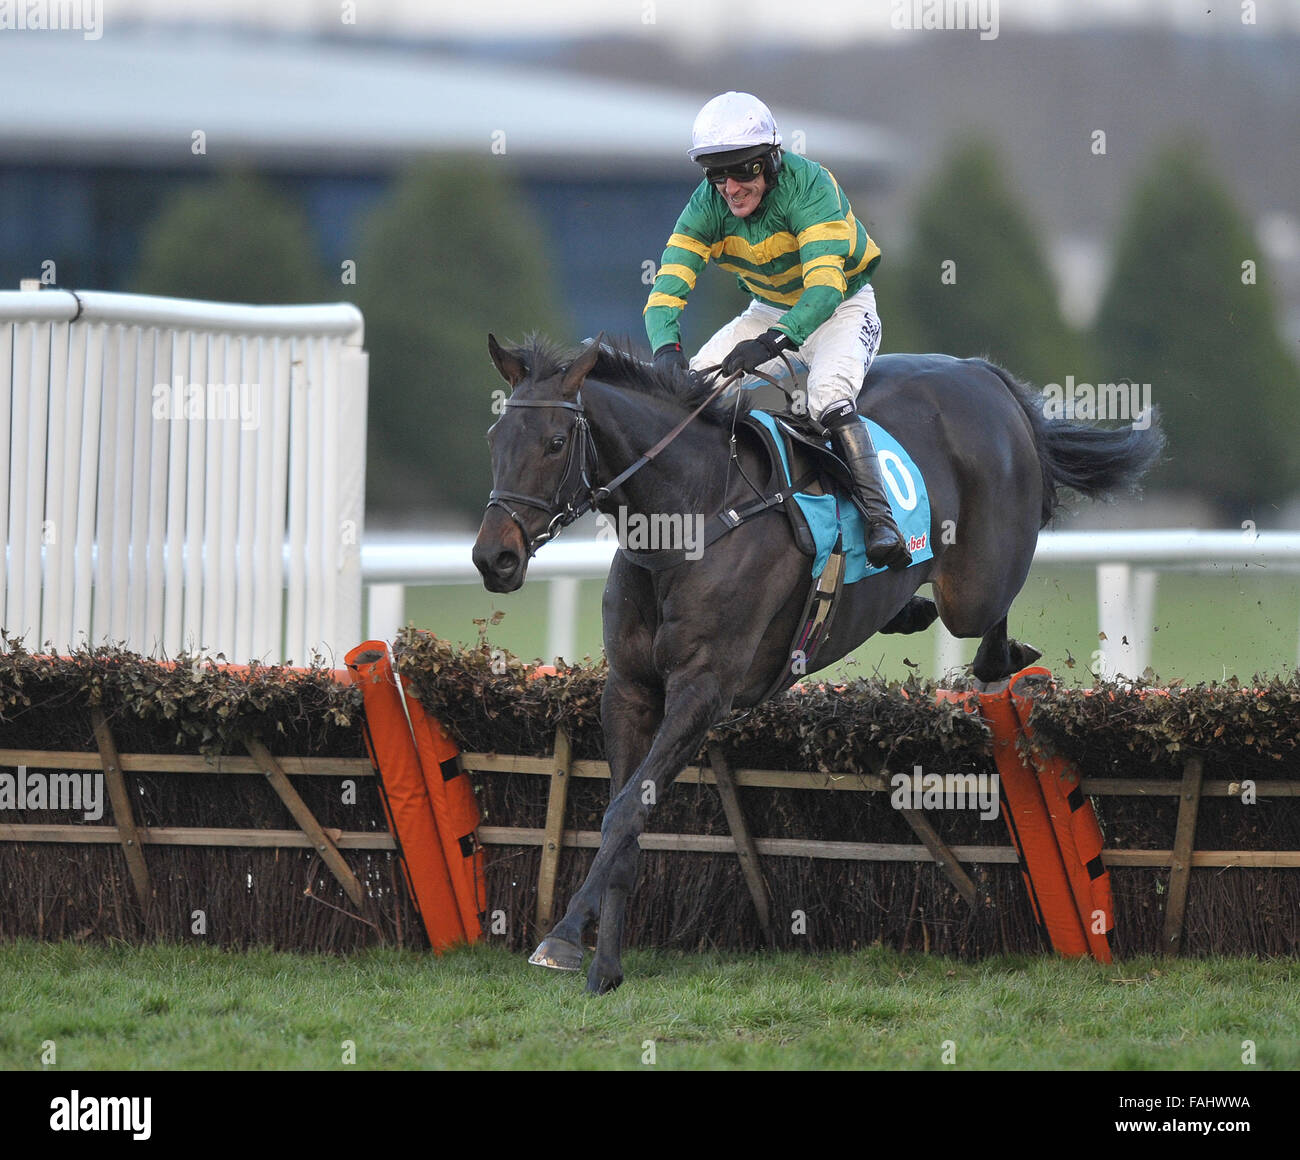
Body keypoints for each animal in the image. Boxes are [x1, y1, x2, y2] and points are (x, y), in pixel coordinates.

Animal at [473, 330, 1164, 993]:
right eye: (495, 438)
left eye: (556, 442)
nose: (492, 558)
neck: (691, 515)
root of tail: (981, 371)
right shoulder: (631, 690)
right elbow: (623, 812)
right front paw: (591, 955)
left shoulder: (703, 691)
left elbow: (623, 813)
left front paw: (575, 945)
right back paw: (911, 612)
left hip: (976, 579)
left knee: (987, 613)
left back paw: (1002, 654)